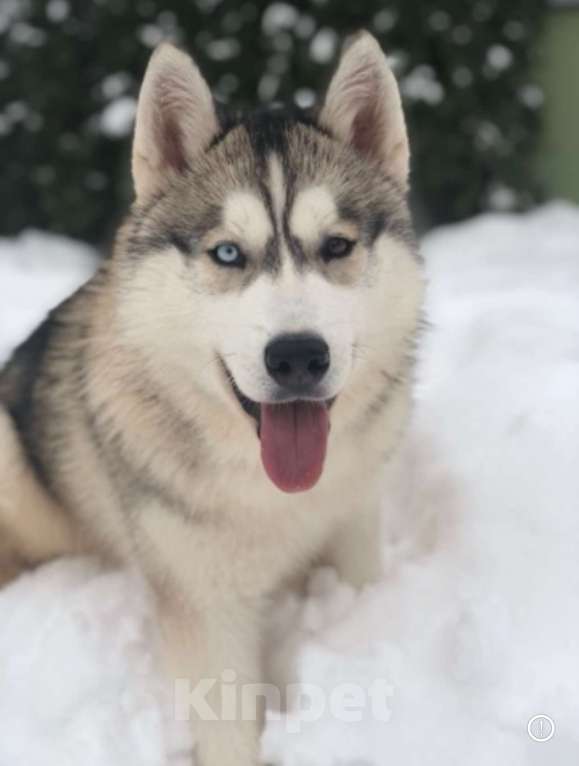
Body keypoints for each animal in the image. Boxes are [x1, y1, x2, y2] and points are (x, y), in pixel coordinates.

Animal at [0, 31, 426, 766]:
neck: (274, 496)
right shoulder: (203, 601)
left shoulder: (353, 529)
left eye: (336, 246)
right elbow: (228, 727)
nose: (297, 357)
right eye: (228, 253)